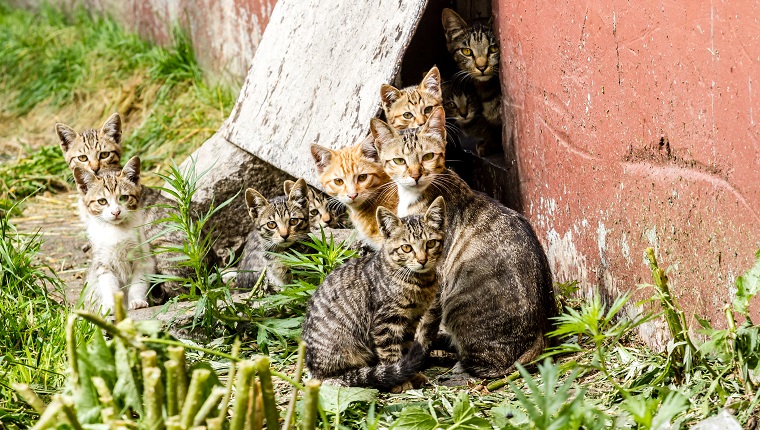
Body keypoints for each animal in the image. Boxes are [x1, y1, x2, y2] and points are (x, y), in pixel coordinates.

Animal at [72, 156, 154, 314]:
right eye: (102, 201)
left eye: (123, 198)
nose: (116, 212)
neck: (116, 230)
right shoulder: (102, 262)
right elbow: (109, 286)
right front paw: (111, 306)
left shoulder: (142, 260)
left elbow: (138, 284)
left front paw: (137, 301)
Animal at [302, 197, 446, 392]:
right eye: (406, 248)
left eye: (430, 243)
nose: (422, 260)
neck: (419, 282)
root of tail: (313, 371)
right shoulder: (385, 322)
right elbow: (391, 352)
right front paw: (399, 381)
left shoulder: (412, 320)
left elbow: (405, 349)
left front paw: (411, 374)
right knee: (336, 379)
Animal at [368, 106, 552, 376]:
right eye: (399, 160)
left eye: (428, 156)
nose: (415, 175)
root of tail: (540, 334)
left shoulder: (434, 280)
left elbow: (423, 325)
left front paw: (415, 356)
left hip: (459, 306)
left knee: (490, 364)